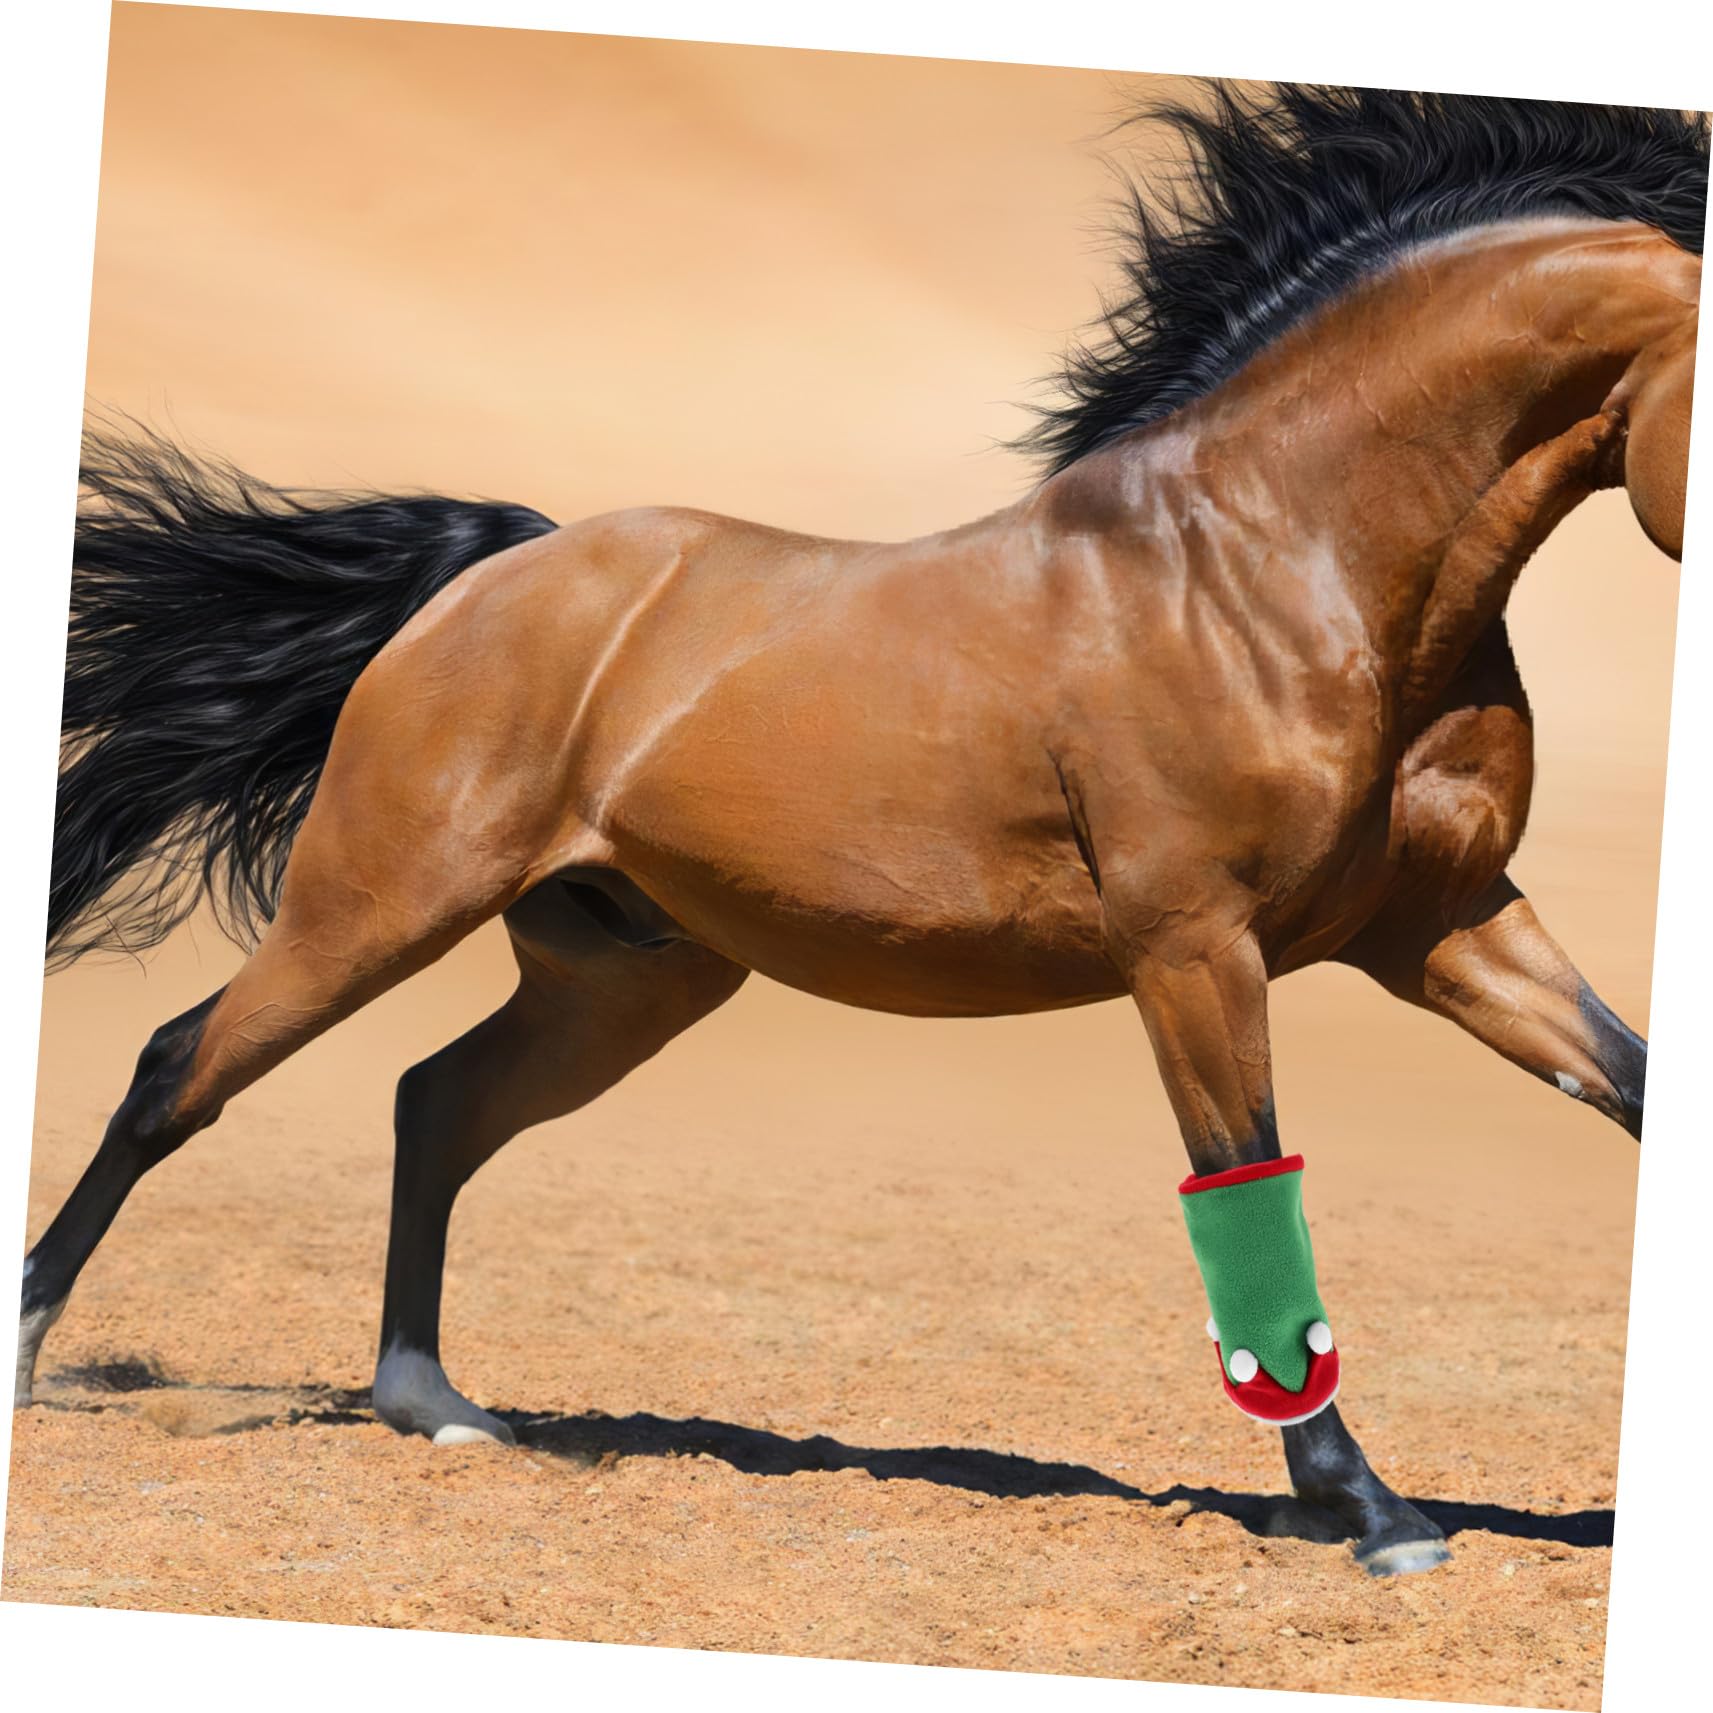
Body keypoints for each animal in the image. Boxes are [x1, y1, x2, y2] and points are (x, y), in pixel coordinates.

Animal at [19, 85, 1704, 1579]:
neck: (1289, 567)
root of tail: (492, 572)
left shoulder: (1440, 925)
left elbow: (1628, 1089)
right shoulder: (1195, 948)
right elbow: (1247, 1189)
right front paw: (1365, 1511)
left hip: (624, 976)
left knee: (434, 1102)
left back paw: (436, 1407)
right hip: (375, 902)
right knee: (181, 1069)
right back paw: (37, 1343)